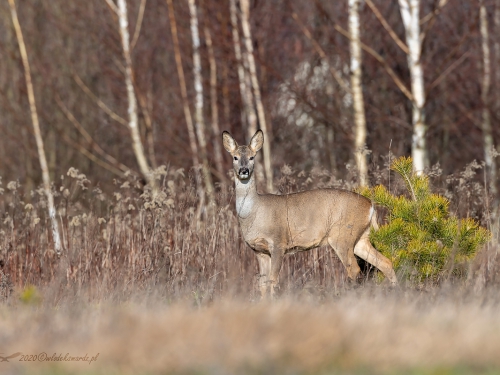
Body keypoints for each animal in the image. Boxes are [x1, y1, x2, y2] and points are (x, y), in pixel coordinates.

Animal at [223, 131, 398, 298]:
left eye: (252, 157)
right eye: (235, 157)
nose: (244, 171)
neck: (254, 212)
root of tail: (371, 206)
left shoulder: (278, 243)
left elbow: (273, 281)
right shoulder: (259, 251)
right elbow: (262, 285)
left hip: (342, 235)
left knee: (355, 270)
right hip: (360, 239)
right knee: (386, 263)